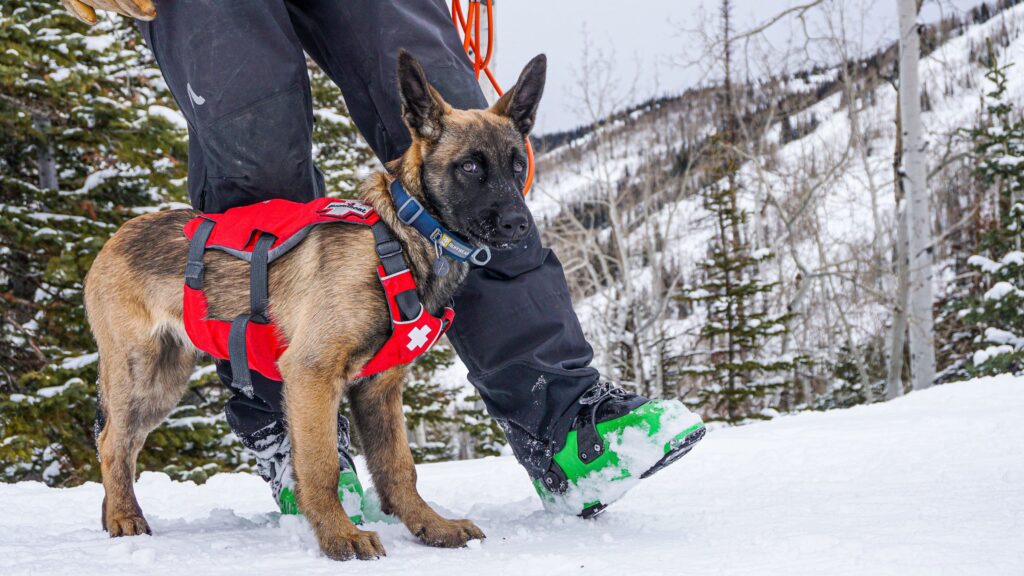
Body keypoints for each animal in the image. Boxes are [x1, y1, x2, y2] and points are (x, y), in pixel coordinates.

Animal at [84, 50, 548, 561]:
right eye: (469, 167)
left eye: (516, 164)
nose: (519, 224)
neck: (401, 237)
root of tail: (117, 237)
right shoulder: (312, 373)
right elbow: (321, 466)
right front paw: (339, 535)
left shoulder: (378, 388)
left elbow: (398, 467)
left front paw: (430, 526)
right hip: (142, 373)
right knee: (113, 442)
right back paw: (125, 517)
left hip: (163, 379)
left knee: (120, 443)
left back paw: (113, 513)